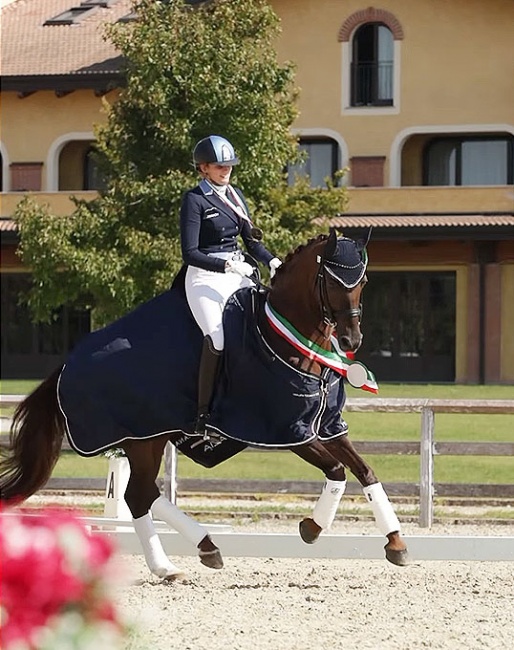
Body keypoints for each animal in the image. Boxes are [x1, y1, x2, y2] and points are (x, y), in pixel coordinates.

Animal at [1, 228, 408, 576]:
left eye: (362, 282)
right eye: (332, 280)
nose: (352, 339)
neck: (286, 336)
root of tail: (66, 364)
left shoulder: (326, 425)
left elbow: (366, 472)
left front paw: (396, 542)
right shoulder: (289, 431)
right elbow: (337, 472)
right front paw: (312, 527)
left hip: (148, 438)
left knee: (143, 494)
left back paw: (188, 555)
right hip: (142, 437)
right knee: (139, 495)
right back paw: (183, 557)